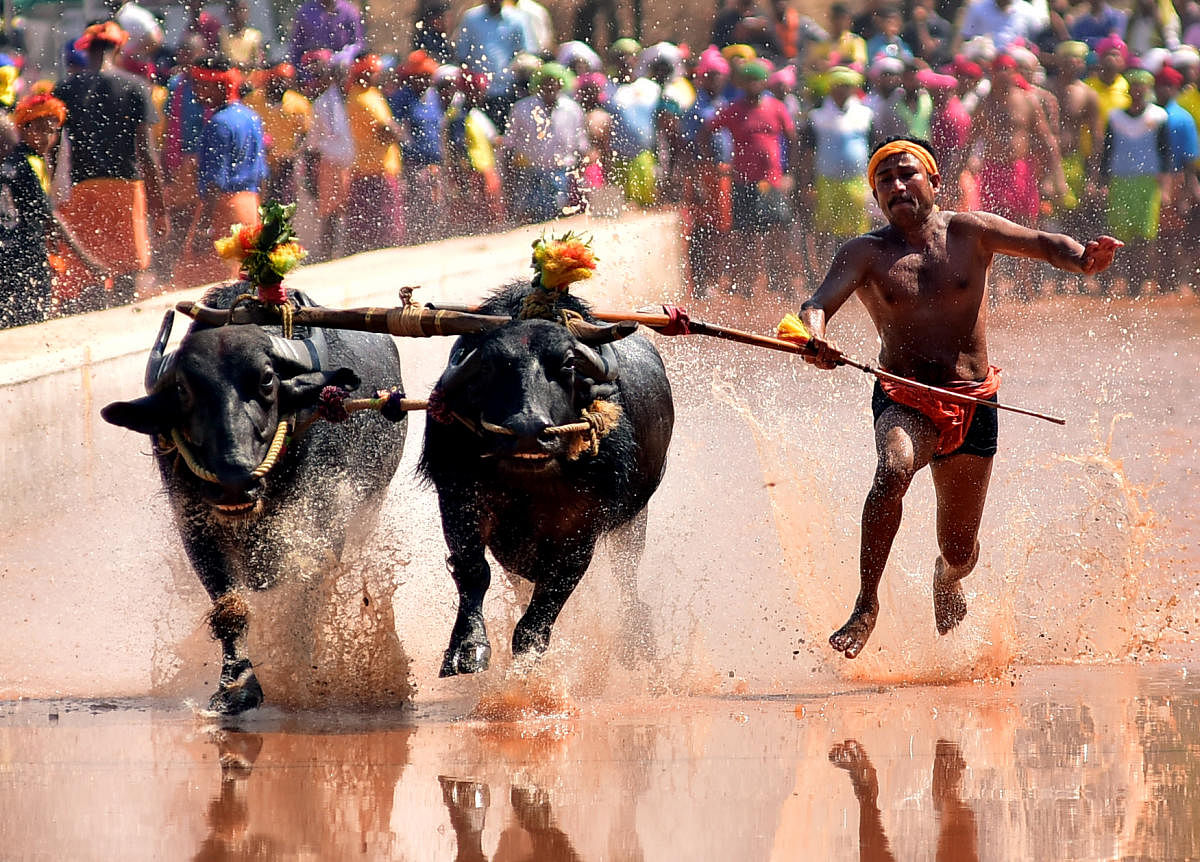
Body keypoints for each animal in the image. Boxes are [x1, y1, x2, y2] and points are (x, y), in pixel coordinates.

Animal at [104, 285, 403, 715]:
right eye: (183, 389)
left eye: (266, 379)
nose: (234, 481)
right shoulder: (197, 530)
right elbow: (231, 609)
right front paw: (236, 687)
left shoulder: (323, 529)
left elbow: (304, 603)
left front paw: (298, 673)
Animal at [417, 286, 672, 677]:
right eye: (489, 365)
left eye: (567, 363)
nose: (527, 431)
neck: (530, 484)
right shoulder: (459, 499)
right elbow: (474, 571)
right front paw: (467, 648)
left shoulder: (583, 531)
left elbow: (546, 602)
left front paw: (528, 665)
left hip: (633, 521)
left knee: (627, 576)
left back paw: (635, 641)